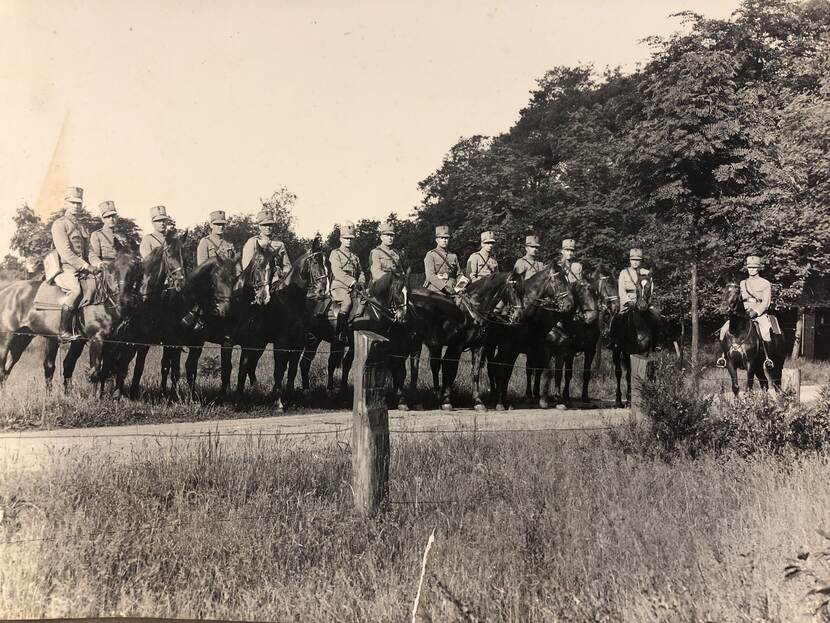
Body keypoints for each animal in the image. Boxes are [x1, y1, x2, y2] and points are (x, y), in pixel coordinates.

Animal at [0, 250, 143, 392]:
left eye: (133, 270)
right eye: (113, 271)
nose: (124, 300)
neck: (104, 301)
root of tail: (6, 290)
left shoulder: (106, 342)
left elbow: (94, 369)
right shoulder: (97, 340)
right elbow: (95, 372)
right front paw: (94, 397)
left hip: (23, 338)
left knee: (9, 367)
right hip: (6, 338)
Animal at [406, 270, 524, 412]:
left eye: (523, 290)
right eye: (513, 288)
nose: (518, 316)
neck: (473, 310)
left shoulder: (479, 346)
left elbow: (475, 373)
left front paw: (478, 402)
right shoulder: (457, 346)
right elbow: (451, 370)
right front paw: (446, 401)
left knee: (429, 366)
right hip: (416, 341)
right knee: (416, 368)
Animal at [608, 270, 660, 408]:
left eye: (648, 286)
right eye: (636, 287)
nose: (642, 306)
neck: (640, 325)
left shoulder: (646, 352)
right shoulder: (628, 352)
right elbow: (629, 374)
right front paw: (629, 401)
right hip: (616, 351)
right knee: (619, 372)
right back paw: (618, 400)